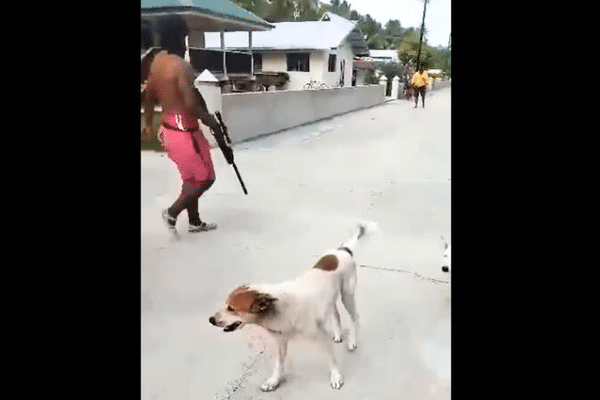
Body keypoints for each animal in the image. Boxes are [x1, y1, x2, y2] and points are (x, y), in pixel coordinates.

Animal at [207, 223, 376, 392]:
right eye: (226, 304)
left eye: (231, 308)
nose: (210, 319)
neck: (275, 309)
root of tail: (342, 250)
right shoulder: (281, 341)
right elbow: (279, 364)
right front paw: (274, 380)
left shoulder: (321, 336)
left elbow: (331, 360)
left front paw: (335, 376)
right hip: (331, 297)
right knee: (335, 314)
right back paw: (338, 334)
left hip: (347, 294)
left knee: (354, 317)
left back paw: (352, 341)